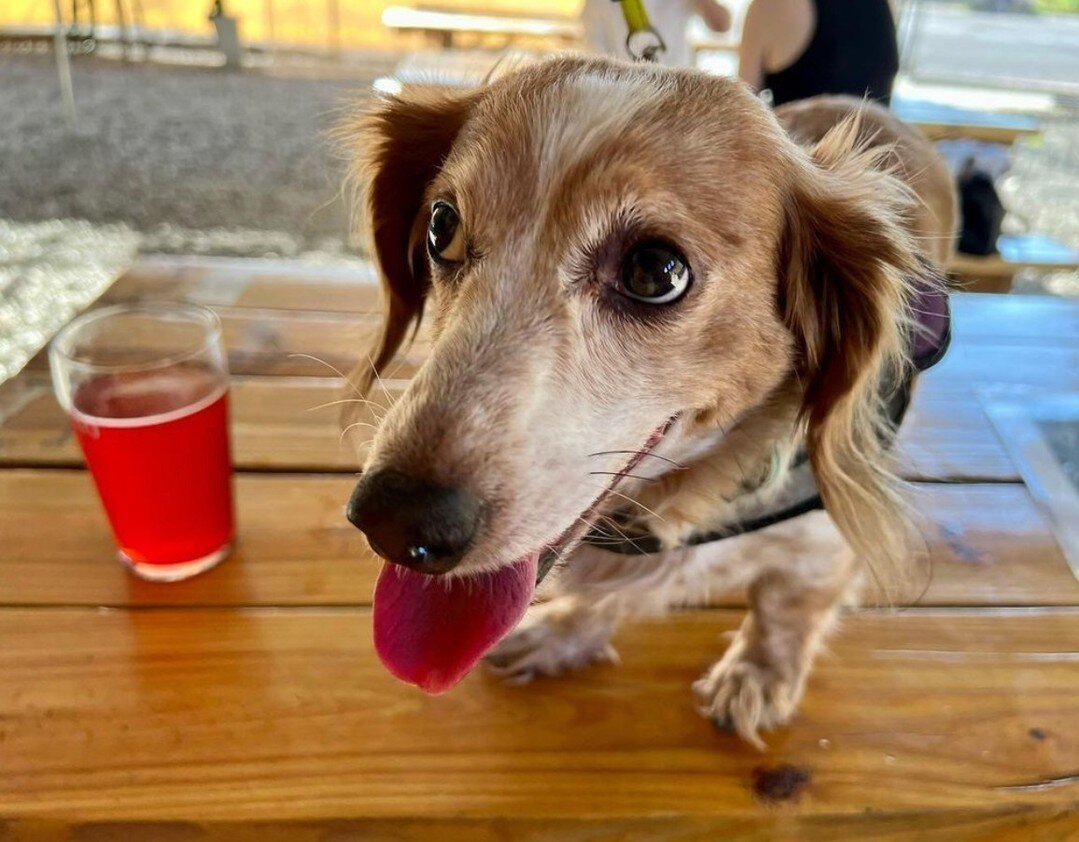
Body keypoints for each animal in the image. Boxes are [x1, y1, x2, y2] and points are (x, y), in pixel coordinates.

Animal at [338, 55, 953, 747]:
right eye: (441, 225)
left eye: (656, 271)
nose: (392, 522)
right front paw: (565, 632)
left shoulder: (820, 543)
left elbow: (785, 612)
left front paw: (757, 674)